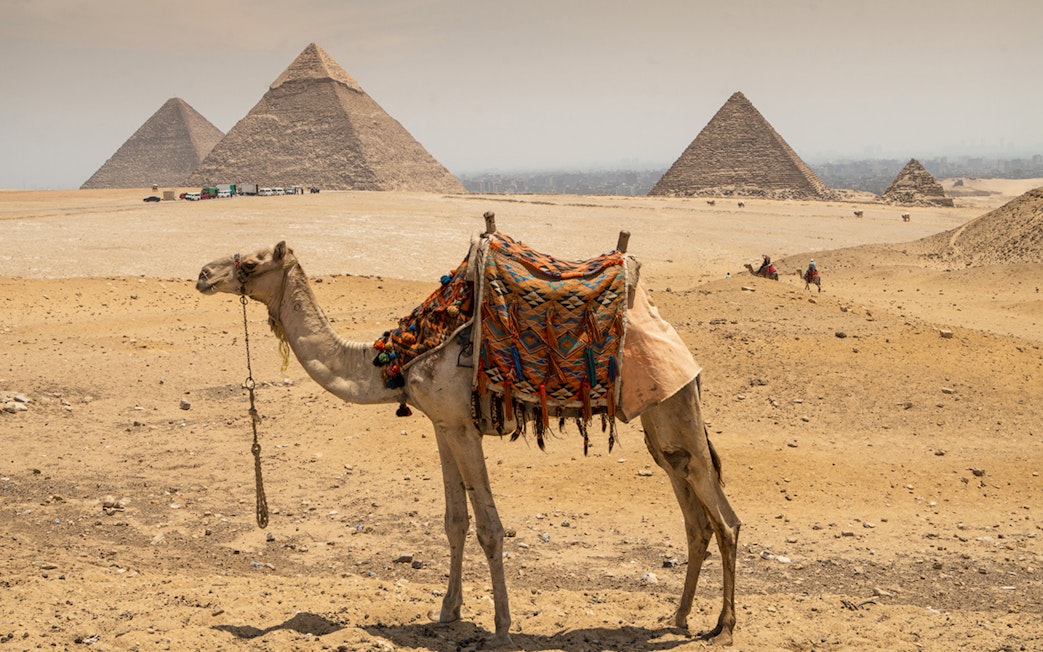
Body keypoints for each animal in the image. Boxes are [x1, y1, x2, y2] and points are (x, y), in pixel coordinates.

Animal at [196, 231, 741, 647]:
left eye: (251, 263)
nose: (203, 273)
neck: (394, 360)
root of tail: (687, 356)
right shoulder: (443, 425)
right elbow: (454, 522)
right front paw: (448, 611)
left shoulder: (463, 427)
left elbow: (490, 529)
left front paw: (500, 627)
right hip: (660, 429)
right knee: (696, 519)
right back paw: (679, 618)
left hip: (676, 408)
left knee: (726, 521)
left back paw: (724, 627)